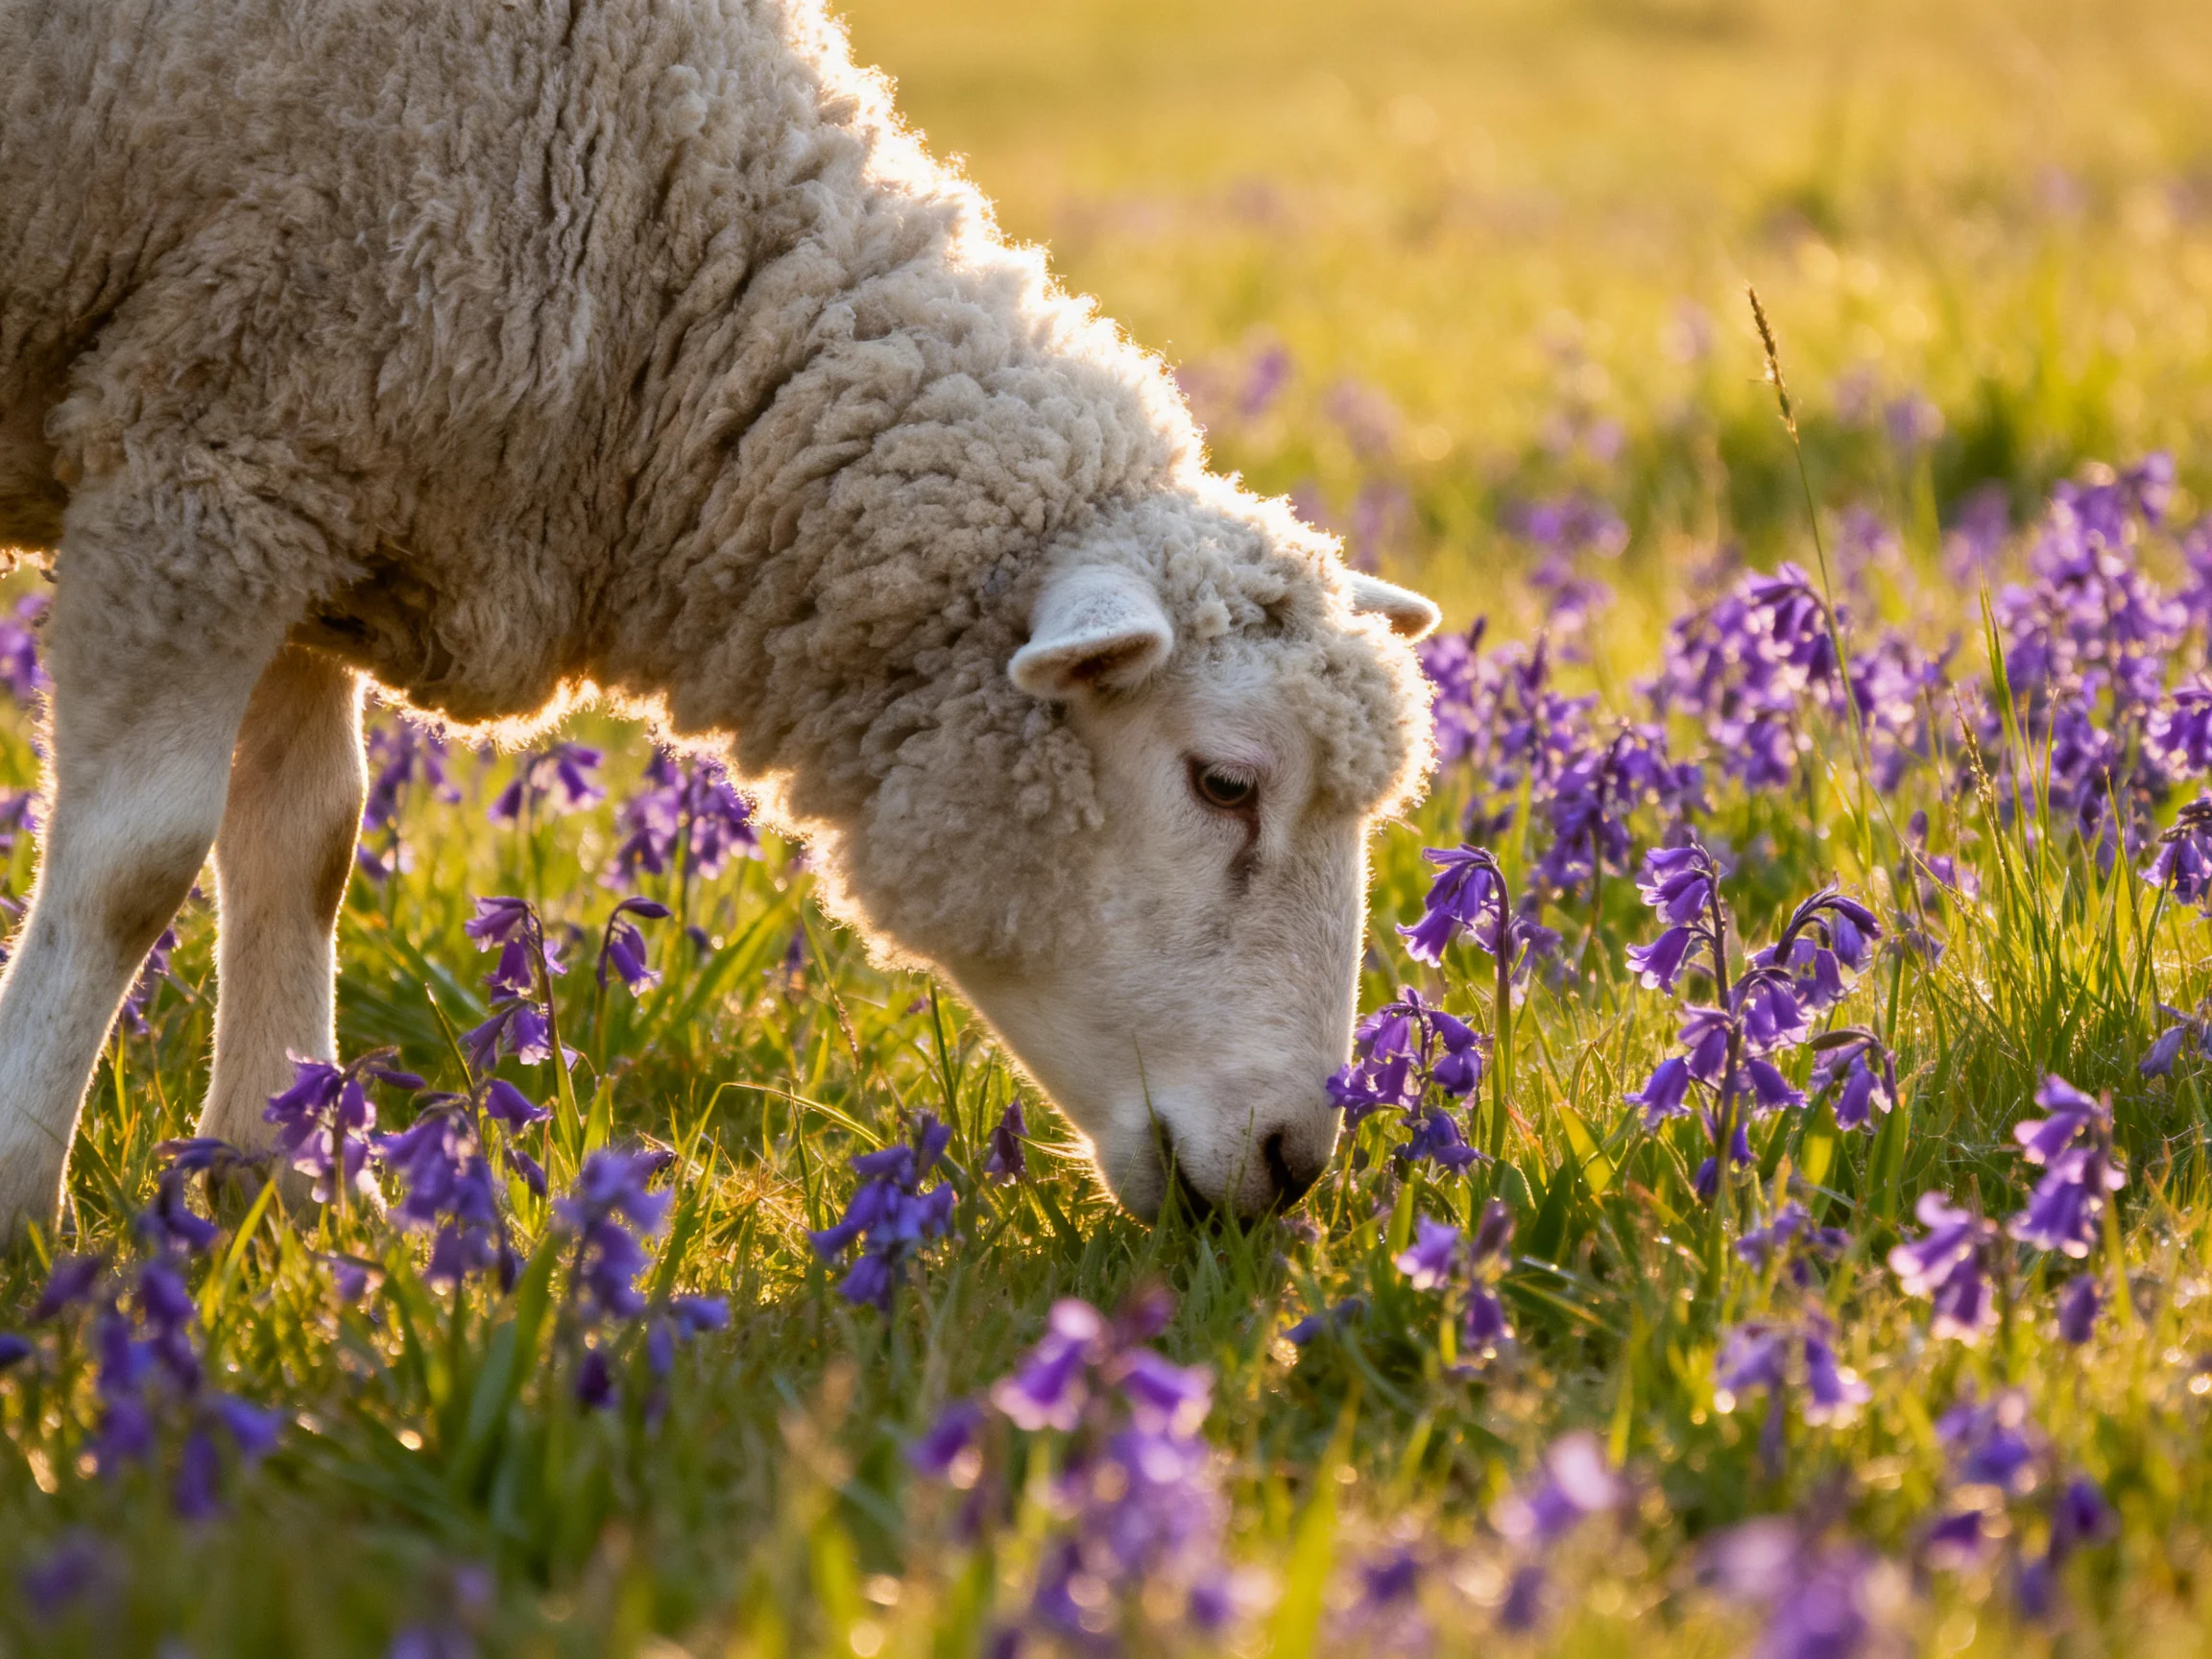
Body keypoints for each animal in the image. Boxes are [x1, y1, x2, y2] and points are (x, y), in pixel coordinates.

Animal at [0, 0, 1440, 1237]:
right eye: (1223, 783)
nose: (1294, 1163)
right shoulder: (208, 463)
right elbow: (135, 869)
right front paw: (25, 1201)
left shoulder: (307, 476)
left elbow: (304, 845)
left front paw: (279, 1180)